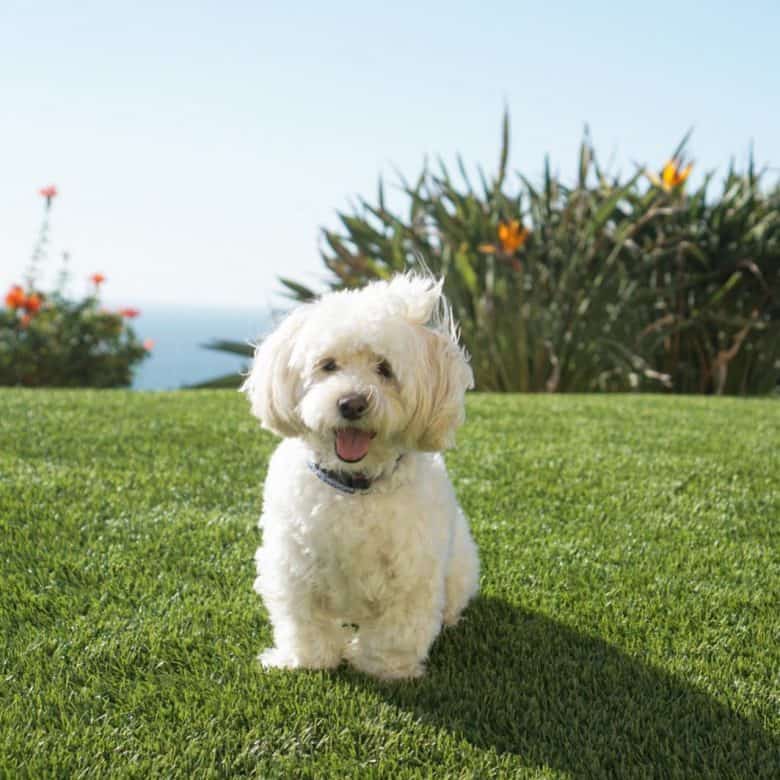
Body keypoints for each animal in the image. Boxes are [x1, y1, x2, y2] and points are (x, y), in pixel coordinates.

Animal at [241, 272, 478, 680]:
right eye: (328, 365)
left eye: (384, 369)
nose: (351, 403)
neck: (354, 488)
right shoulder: (293, 566)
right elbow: (303, 623)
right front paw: (305, 662)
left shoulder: (411, 576)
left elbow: (396, 632)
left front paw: (384, 670)